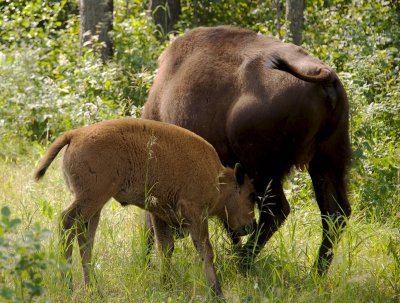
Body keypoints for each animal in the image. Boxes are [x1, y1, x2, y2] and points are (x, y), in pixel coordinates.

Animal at [33, 117, 253, 298]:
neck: (217, 178)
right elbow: (205, 250)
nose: (250, 226)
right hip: (92, 198)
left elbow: (166, 248)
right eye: (250, 196)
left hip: (95, 205)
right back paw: (68, 285)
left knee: (85, 239)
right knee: (67, 222)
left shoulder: (160, 214)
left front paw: (166, 284)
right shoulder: (196, 213)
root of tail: (75, 134)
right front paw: (217, 291)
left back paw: (94, 289)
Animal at [142, 26, 352, 276]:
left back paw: (242, 262)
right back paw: (315, 273)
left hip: (263, 170)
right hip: (327, 160)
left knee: (276, 211)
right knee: (335, 213)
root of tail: (325, 75)